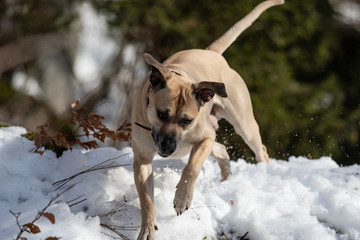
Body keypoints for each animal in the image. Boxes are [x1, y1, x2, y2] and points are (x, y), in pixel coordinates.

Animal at [131, 0, 286, 239]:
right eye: (161, 114)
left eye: (186, 121)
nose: (168, 147)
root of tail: (211, 53)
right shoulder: (142, 159)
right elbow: (146, 199)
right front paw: (148, 228)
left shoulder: (204, 138)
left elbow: (191, 168)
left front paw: (182, 198)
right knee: (222, 150)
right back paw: (226, 180)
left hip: (243, 124)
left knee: (259, 149)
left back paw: (263, 173)